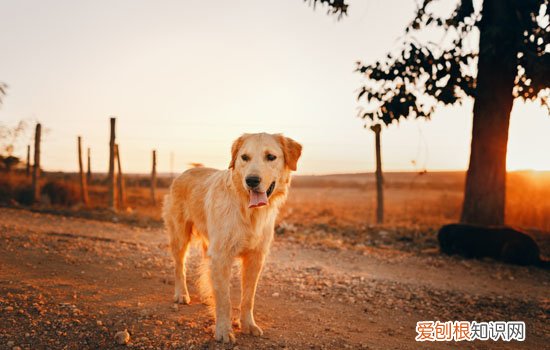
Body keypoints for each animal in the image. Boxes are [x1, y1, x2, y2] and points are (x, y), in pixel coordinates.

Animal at [162, 133, 304, 344]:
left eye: (271, 157)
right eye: (244, 157)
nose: (251, 180)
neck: (248, 211)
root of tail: (187, 171)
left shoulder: (255, 258)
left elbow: (248, 298)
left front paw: (248, 325)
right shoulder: (222, 256)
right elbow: (225, 299)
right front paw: (223, 330)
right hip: (180, 236)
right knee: (180, 266)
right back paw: (182, 294)